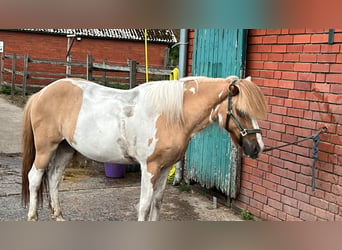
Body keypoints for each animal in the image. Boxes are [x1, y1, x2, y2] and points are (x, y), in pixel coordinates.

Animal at [21, 76, 268, 221]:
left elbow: (157, 204)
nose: (257, 148)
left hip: (65, 149)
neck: (172, 115)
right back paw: (32, 217)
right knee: (35, 177)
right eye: (242, 111)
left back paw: (59, 216)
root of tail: (40, 93)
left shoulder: (165, 168)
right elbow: (145, 205)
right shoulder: (150, 167)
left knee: (53, 178)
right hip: (46, 148)